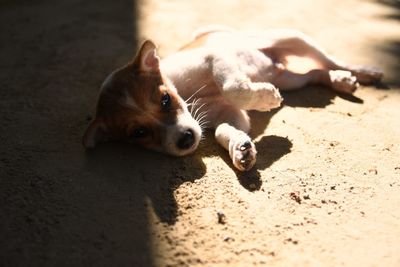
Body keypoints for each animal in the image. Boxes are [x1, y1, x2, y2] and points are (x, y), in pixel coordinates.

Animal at [83, 25, 382, 172]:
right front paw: (240, 149)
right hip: (289, 80)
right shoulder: (230, 115)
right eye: (139, 133)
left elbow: (233, 88)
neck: (190, 97)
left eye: (165, 100)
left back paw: (362, 72)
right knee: (314, 72)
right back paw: (338, 80)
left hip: (292, 39)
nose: (186, 140)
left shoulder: (215, 59)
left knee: (328, 59)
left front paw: (265, 97)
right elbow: (223, 131)